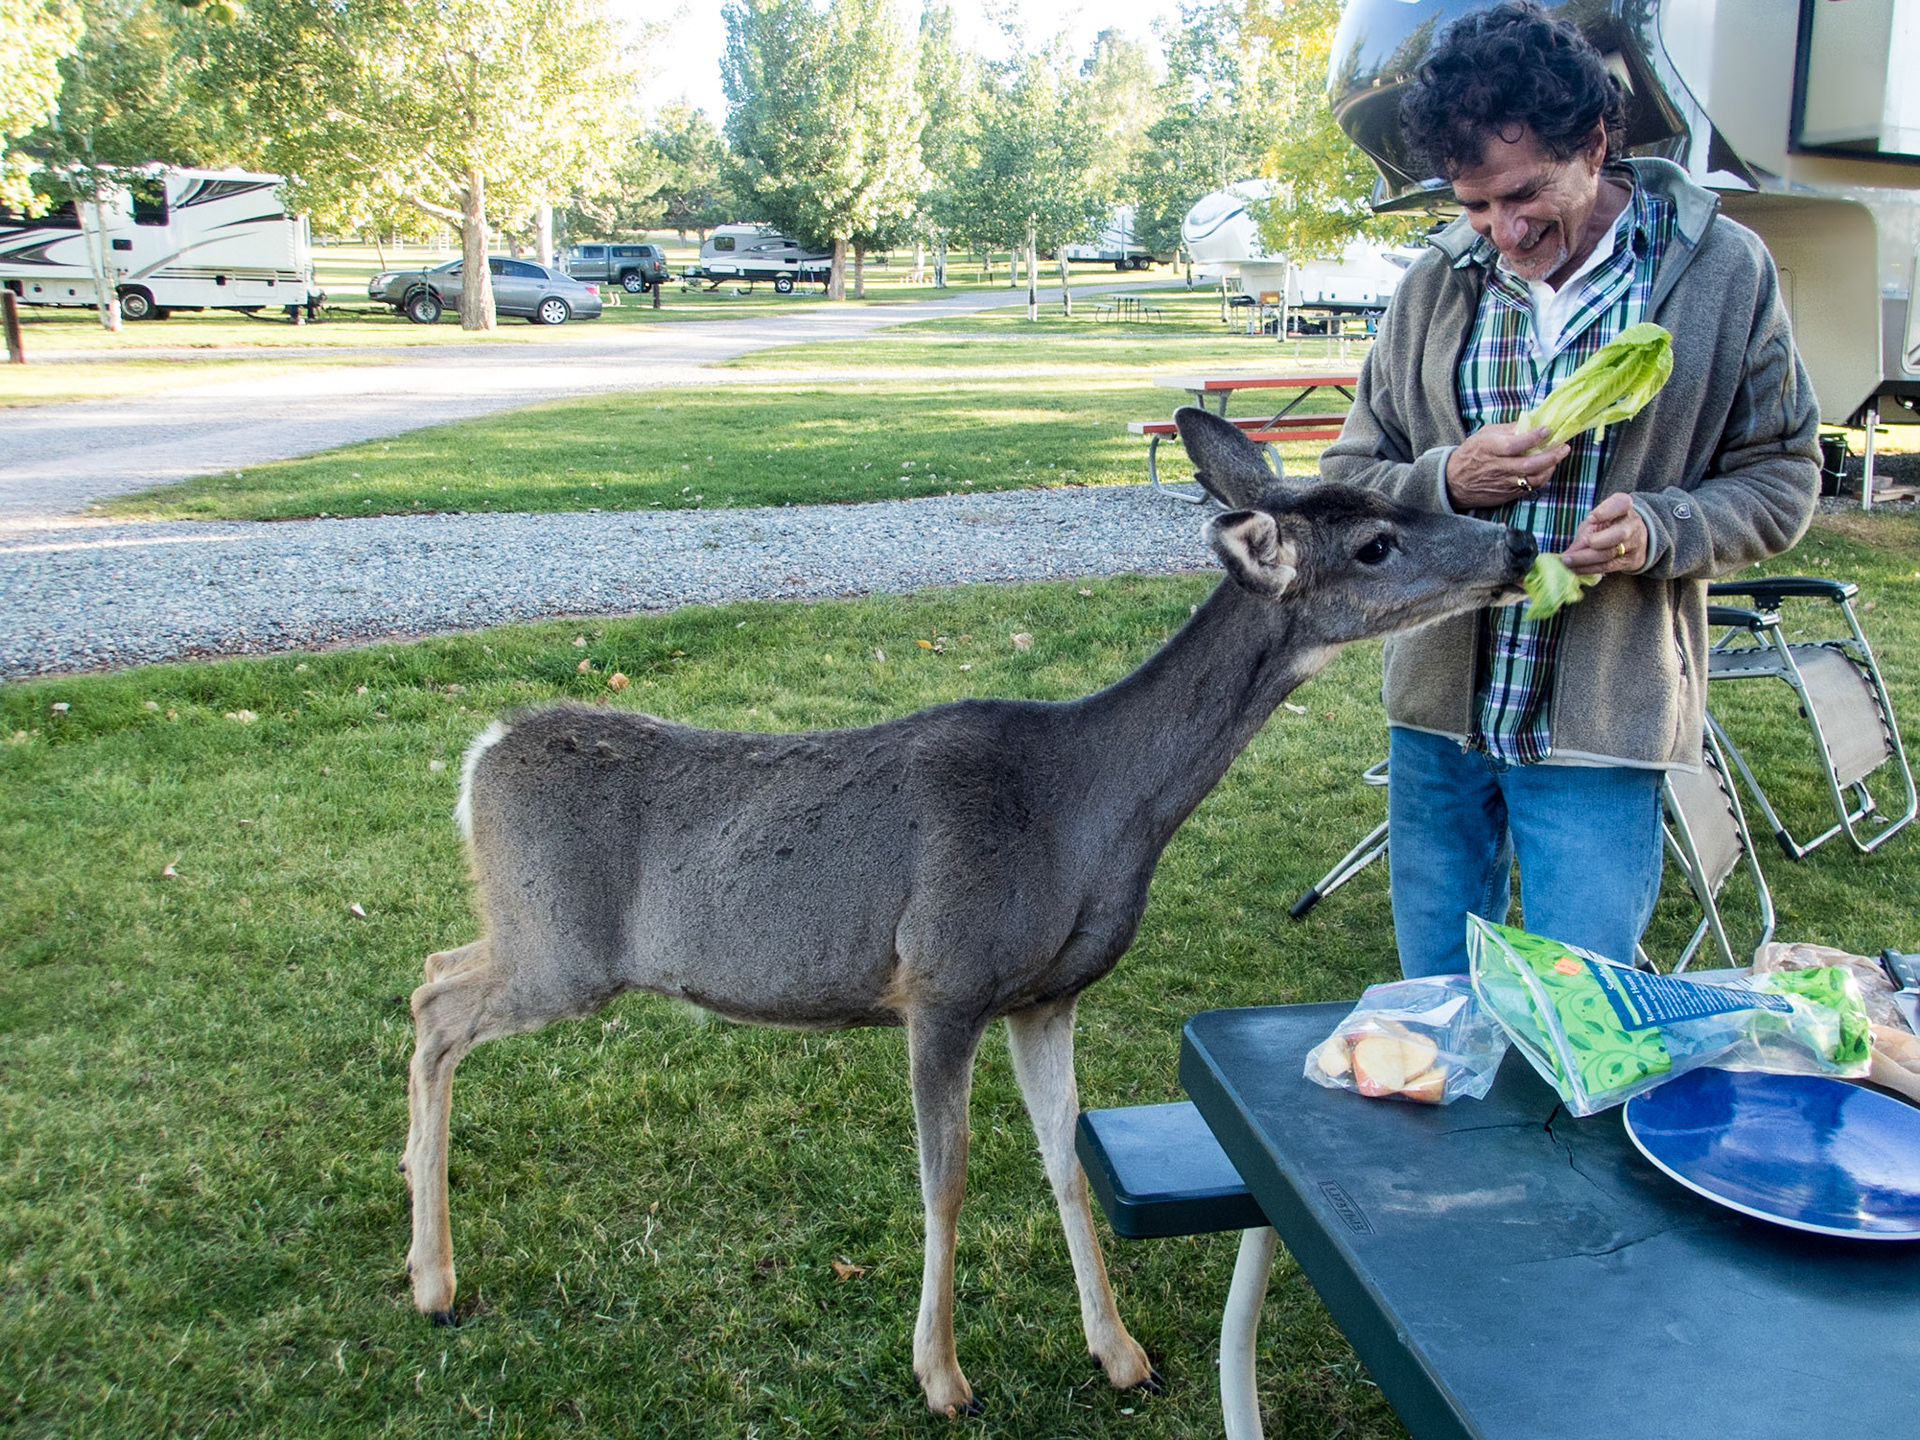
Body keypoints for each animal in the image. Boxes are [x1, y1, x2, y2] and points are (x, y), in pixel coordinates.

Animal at [401, 407, 1538, 1416]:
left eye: (1400, 501)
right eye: (1377, 542)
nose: (1519, 540)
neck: (1086, 810)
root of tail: (478, 757)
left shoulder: (1046, 996)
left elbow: (1067, 1163)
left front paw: (1120, 1353)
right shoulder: (943, 979)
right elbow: (942, 1185)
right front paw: (943, 1377)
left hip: (531, 938)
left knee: (431, 970)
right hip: (564, 950)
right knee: (435, 1007)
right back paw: (434, 1281)